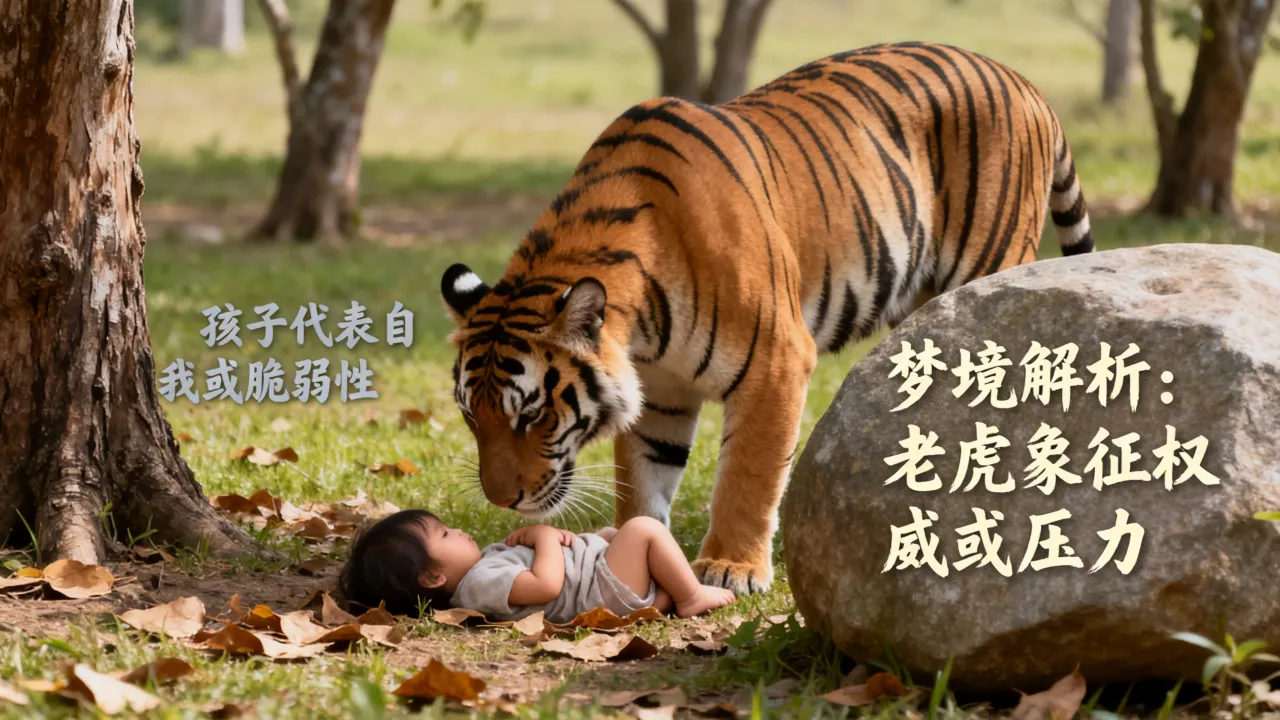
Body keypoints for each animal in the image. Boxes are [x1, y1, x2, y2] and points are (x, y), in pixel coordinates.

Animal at [439, 41, 1094, 595]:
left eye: (532, 415)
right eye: (472, 417)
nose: (503, 499)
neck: (643, 326)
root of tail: (1021, 80)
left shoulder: (776, 360)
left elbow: (748, 476)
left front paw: (730, 568)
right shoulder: (661, 391)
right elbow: (645, 478)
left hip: (989, 265)